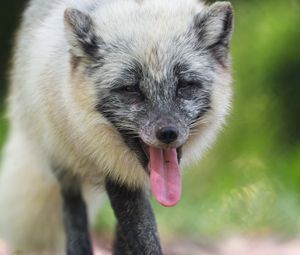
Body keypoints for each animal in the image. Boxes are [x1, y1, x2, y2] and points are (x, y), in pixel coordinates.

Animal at [0, 0, 233, 254]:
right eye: (131, 89)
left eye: (185, 85)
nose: (169, 134)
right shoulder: (115, 173)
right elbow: (143, 237)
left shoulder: (138, 181)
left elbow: (131, 233)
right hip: (61, 161)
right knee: (72, 210)